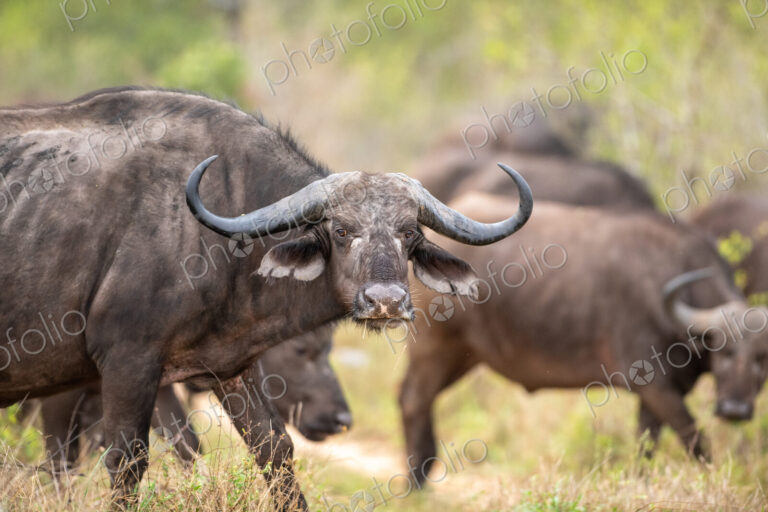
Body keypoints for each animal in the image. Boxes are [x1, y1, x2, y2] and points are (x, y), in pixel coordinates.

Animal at [22, 325, 351, 476]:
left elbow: (187, 444)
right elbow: (60, 459)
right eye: (301, 349)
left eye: (330, 349)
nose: (342, 419)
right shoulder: (61, 395)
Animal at [398, 193, 768, 485]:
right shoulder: (656, 386)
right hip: (434, 349)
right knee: (413, 401)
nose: (735, 410)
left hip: (464, 356)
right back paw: (417, 483)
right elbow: (695, 440)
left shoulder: (658, 393)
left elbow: (645, 444)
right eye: (724, 351)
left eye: (761, 359)